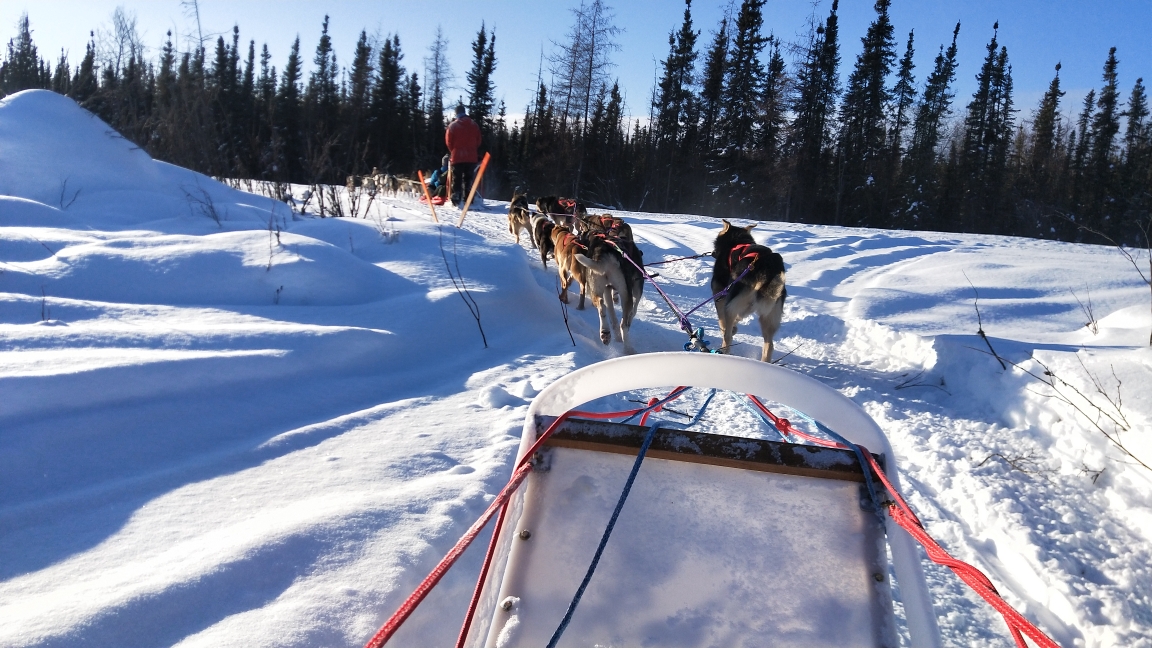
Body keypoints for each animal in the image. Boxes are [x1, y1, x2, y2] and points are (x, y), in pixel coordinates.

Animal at [709, 217, 783, 359]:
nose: (713, 253)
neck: (737, 241)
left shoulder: (720, 295)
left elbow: (722, 321)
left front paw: (729, 328)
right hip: (768, 316)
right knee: (769, 346)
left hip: (733, 303)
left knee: (727, 336)